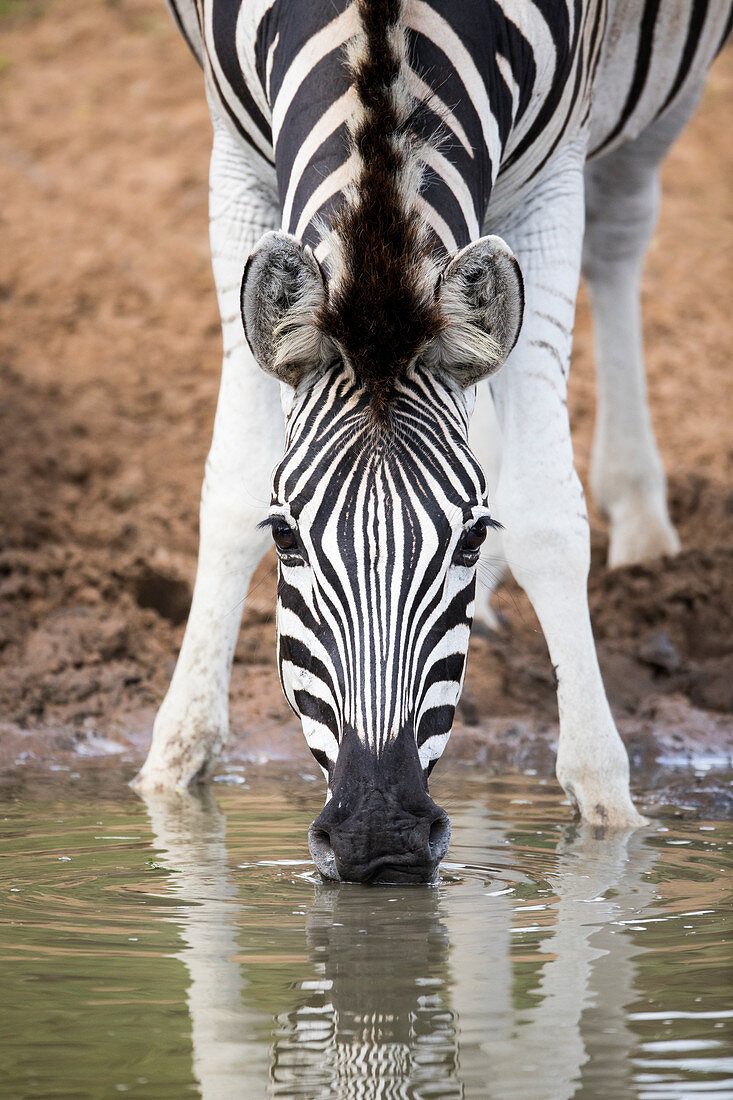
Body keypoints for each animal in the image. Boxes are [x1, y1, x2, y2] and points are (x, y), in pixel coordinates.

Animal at [132, 0, 730, 875]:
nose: (380, 837)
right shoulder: (235, 155)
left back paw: (639, 510)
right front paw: (174, 761)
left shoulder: (552, 175)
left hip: (653, 107)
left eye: (471, 536)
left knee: (620, 233)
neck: (381, 32)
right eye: (284, 537)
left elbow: (549, 516)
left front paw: (602, 795)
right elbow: (234, 480)